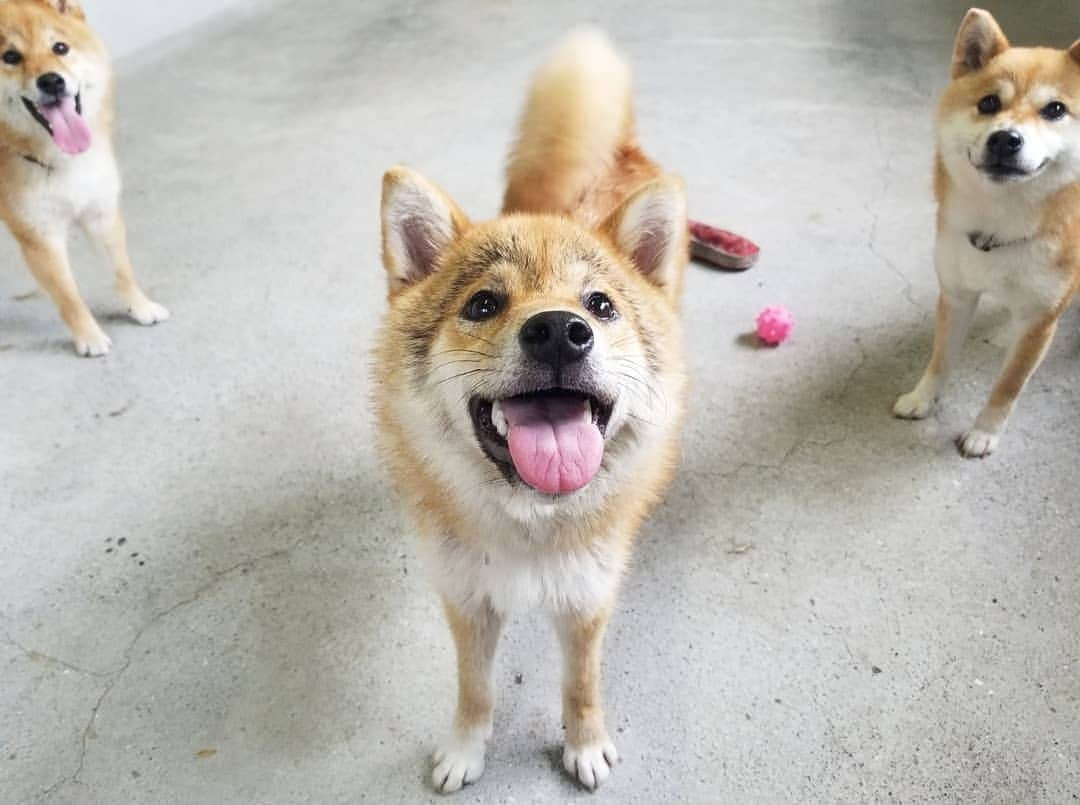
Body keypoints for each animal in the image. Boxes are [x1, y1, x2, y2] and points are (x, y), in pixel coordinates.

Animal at [0, 0, 166, 358]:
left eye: (60, 48)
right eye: (10, 57)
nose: (51, 81)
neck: (61, 161)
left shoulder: (100, 211)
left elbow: (122, 270)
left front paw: (140, 307)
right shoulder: (40, 235)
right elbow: (68, 296)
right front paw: (89, 336)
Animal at [375, 29, 686, 790]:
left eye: (599, 306)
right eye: (483, 303)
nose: (558, 331)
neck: (530, 522)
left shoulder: (587, 602)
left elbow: (581, 685)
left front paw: (584, 743)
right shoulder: (465, 601)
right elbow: (475, 690)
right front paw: (465, 750)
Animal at [894, 9, 1080, 455]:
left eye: (1056, 110)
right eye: (989, 103)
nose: (1005, 139)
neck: (1003, 225)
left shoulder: (1039, 320)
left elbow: (1008, 386)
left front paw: (984, 432)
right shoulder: (957, 294)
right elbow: (940, 359)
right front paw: (922, 398)